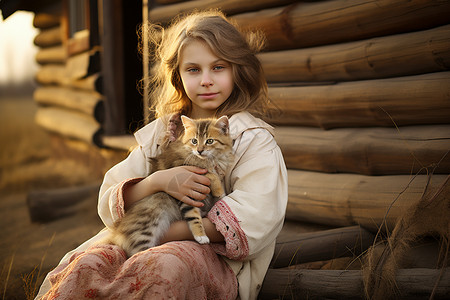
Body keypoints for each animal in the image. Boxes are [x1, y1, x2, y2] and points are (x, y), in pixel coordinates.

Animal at [104, 116, 234, 256]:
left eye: (209, 141)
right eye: (194, 141)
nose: (199, 150)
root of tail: (117, 234)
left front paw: (219, 192)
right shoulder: (186, 185)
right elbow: (194, 213)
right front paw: (201, 236)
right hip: (147, 224)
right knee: (137, 251)